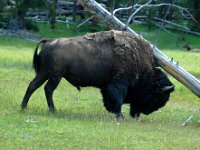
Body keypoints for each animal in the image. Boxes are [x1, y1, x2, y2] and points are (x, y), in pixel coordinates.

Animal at [21, 29, 174, 120]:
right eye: (159, 96)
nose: (139, 114)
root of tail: (48, 41)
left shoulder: (107, 87)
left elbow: (110, 99)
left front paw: (112, 111)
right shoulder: (118, 85)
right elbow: (118, 99)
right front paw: (119, 116)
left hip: (43, 73)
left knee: (32, 86)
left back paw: (24, 107)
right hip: (55, 76)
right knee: (48, 89)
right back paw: (53, 111)